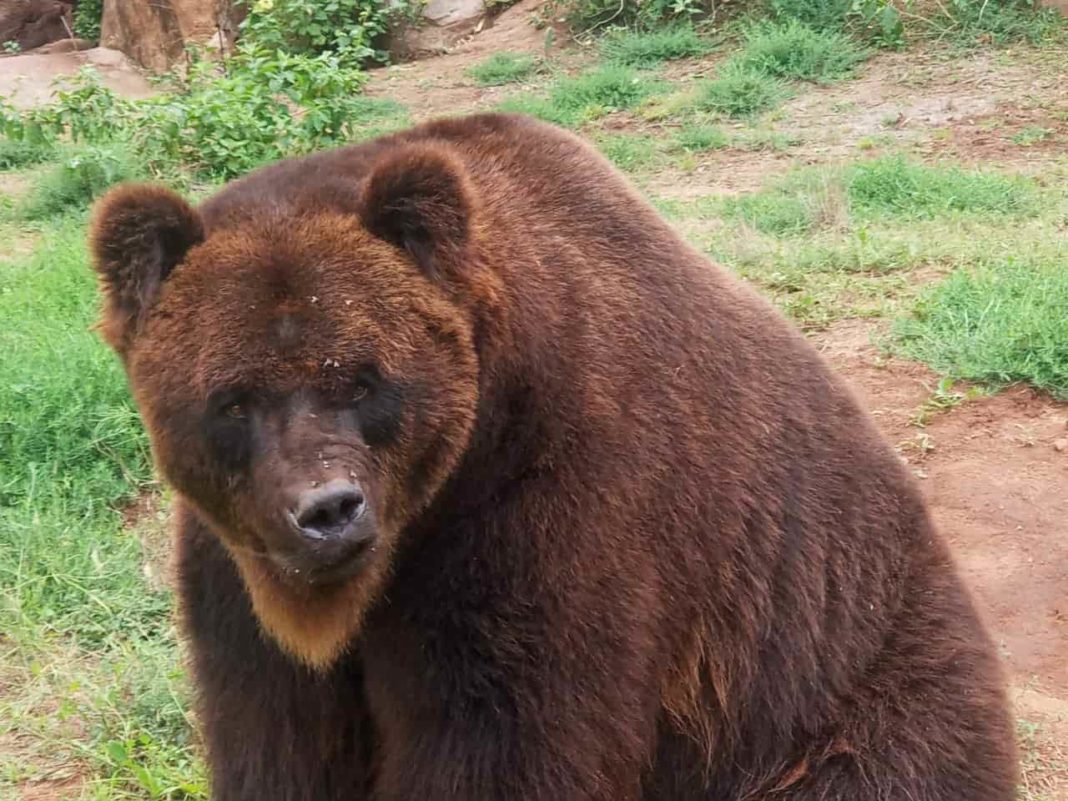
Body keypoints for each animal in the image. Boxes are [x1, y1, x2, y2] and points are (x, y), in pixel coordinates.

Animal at [90, 112, 1016, 801]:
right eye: (234, 399)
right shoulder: (236, 570)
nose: (327, 509)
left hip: (840, 677)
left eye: (360, 378)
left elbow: (510, 738)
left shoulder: (557, 513)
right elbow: (279, 735)